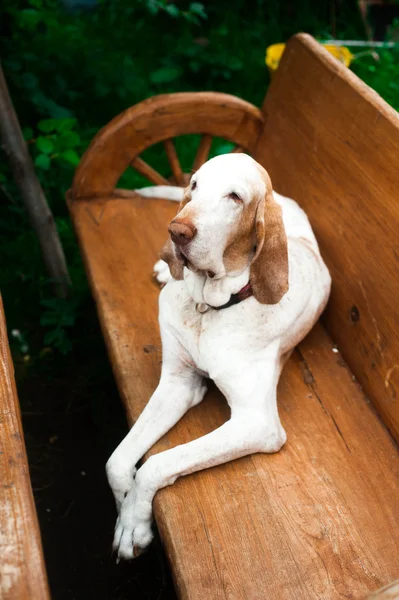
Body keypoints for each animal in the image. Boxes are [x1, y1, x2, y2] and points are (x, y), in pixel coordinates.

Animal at [105, 152, 332, 560]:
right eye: (195, 185)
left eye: (234, 197)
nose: (177, 231)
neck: (207, 307)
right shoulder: (178, 383)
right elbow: (116, 462)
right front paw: (123, 510)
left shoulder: (256, 424)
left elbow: (158, 462)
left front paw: (133, 523)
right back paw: (165, 267)